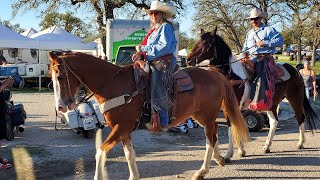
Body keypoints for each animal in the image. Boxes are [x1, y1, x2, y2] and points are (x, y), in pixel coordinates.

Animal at [48, 51, 249, 179]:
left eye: (59, 76)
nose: (60, 107)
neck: (113, 85)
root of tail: (216, 75)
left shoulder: (121, 127)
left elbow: (100, 152)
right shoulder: (124, 130)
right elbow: (129, 154)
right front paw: (134, 177)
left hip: (206, 115)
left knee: (211, 138)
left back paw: (201, 172)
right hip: (201, 115)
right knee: (214, 134)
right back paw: (219, 159)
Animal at [186, 30, 318, 157]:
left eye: (207, 43)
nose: (188, 59)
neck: (231, 76)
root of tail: (295, 70)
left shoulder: (234, 106)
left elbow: (234, 126)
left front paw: (231, 153)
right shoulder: (226, 107)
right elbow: (234, 126)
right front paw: (239, 150)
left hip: (295, 98)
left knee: (300, 117)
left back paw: (300, 143)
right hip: (272, 103)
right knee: (274, 122)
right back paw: (267, 147)